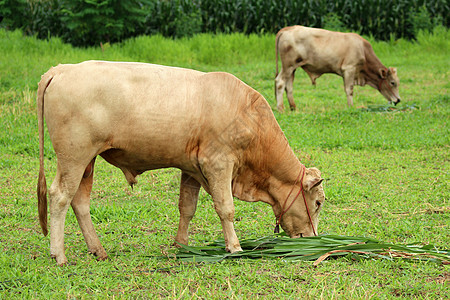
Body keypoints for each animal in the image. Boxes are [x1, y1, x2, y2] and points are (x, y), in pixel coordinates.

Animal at [37, 61, 326, 264]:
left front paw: (182, 244)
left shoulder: (191, 169)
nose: (314, 239)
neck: (248, 114)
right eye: (318, 203)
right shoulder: (218, 164)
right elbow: (226, 208)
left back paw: (98, 250)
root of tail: (62, 69)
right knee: (60, 197)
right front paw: (234, 247)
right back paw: (58, 254)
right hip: (74, 157)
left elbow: (187, 208)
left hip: (87, 162)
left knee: (80, 202)